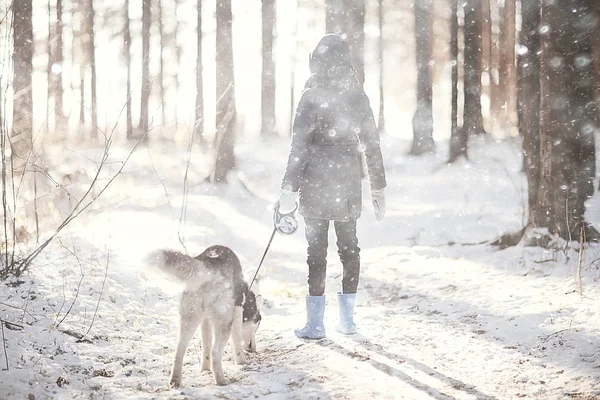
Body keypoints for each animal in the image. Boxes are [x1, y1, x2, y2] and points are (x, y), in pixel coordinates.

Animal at [147, 245, 260, 386]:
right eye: (257, 326)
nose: (253, 349)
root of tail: (209, 265)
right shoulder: (237, 312)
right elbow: (237, 341)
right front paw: (242, 362)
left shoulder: (205, 320)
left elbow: (206, 346)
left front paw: (205, 369)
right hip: (224, 321)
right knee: (215, 352)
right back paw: (221, 380)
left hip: (190, 316)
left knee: (180, 350)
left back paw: (175, 381)